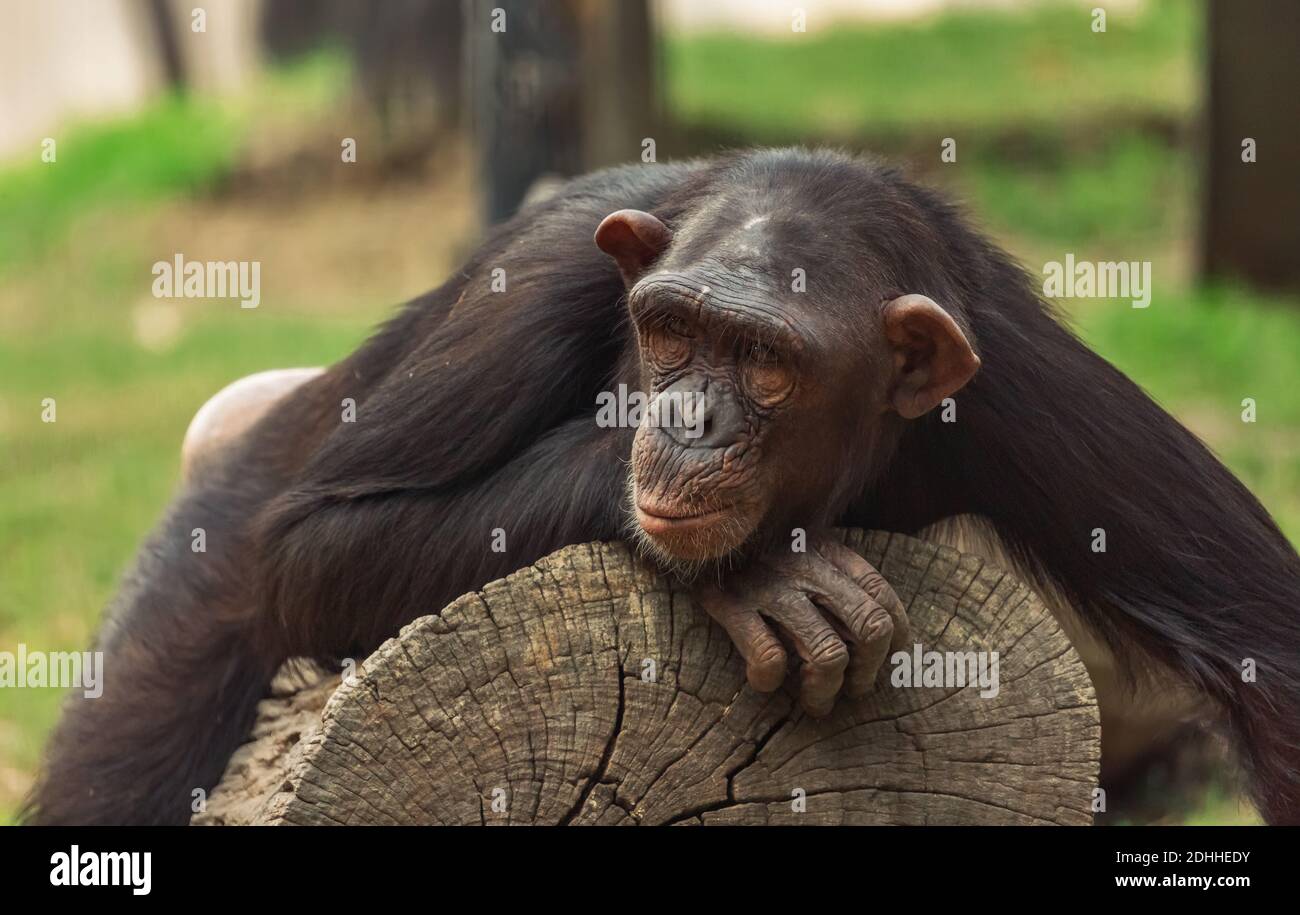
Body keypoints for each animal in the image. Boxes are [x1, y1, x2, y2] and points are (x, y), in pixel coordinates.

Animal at [25, 148, 1300, 825]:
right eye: (673, 332)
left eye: (767, 359)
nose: (687, 418)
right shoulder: (532, 284)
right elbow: (320, 542)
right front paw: (762, 575)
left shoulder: (1030, 387)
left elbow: (1262, 644)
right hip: (192, 570)